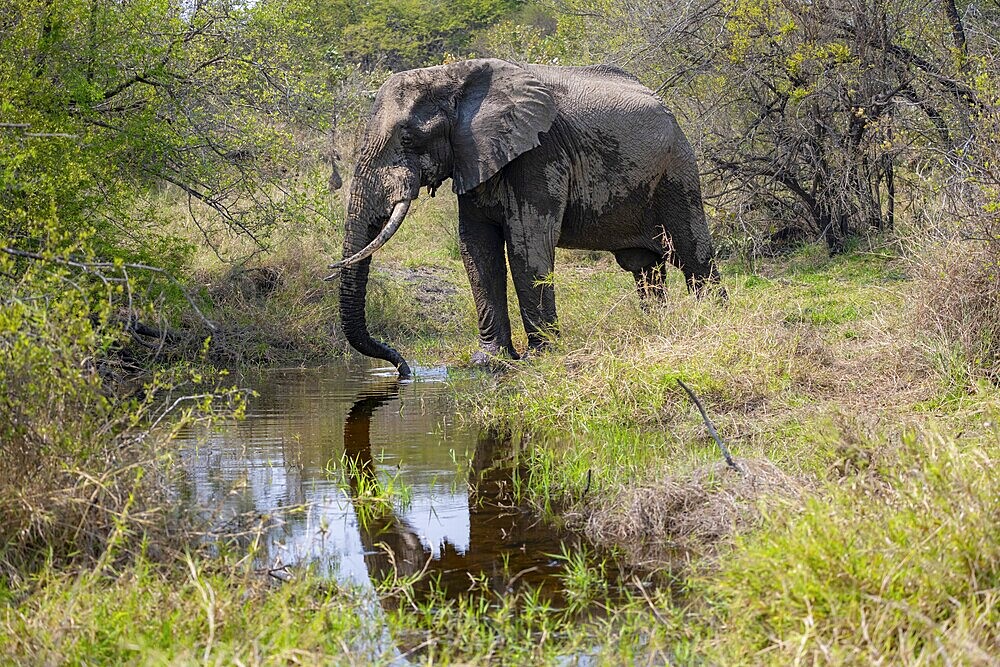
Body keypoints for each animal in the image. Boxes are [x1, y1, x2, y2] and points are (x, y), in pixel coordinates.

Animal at [332, 59, 724, 378]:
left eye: (409, 138)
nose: (404, 370)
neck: (453, 77)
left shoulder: (540, 153)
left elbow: (526, 242)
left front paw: (541, 357)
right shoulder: (474, 155)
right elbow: (476, 248)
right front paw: (489, 362)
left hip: (677, 171)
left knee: (693, 256)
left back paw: (709, 321)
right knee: (644, 267)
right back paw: (657, 327)